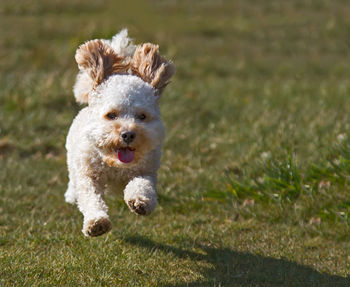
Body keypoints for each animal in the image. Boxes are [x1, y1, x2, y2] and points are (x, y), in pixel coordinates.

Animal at [64, 29, 175, 237]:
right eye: (111, 115)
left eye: (142, 116)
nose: (128, 134)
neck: (115, 164)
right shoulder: (88, 175)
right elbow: (90, 198)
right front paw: (96, 223)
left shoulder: (147, 170)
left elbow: (142, 185)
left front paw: (141, 202)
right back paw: (71, 195)